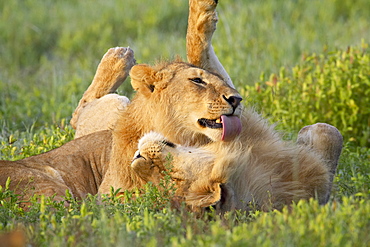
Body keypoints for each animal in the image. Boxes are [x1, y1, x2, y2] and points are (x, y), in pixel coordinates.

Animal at [0, 0, 342, 212]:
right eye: (197, 82)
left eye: (171, 176)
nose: (236, 100)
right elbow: (197, 50)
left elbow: (329, 134)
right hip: (55, 192)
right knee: (79, 112)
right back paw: (118, 57)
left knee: (83, 111)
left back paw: (118, 59)